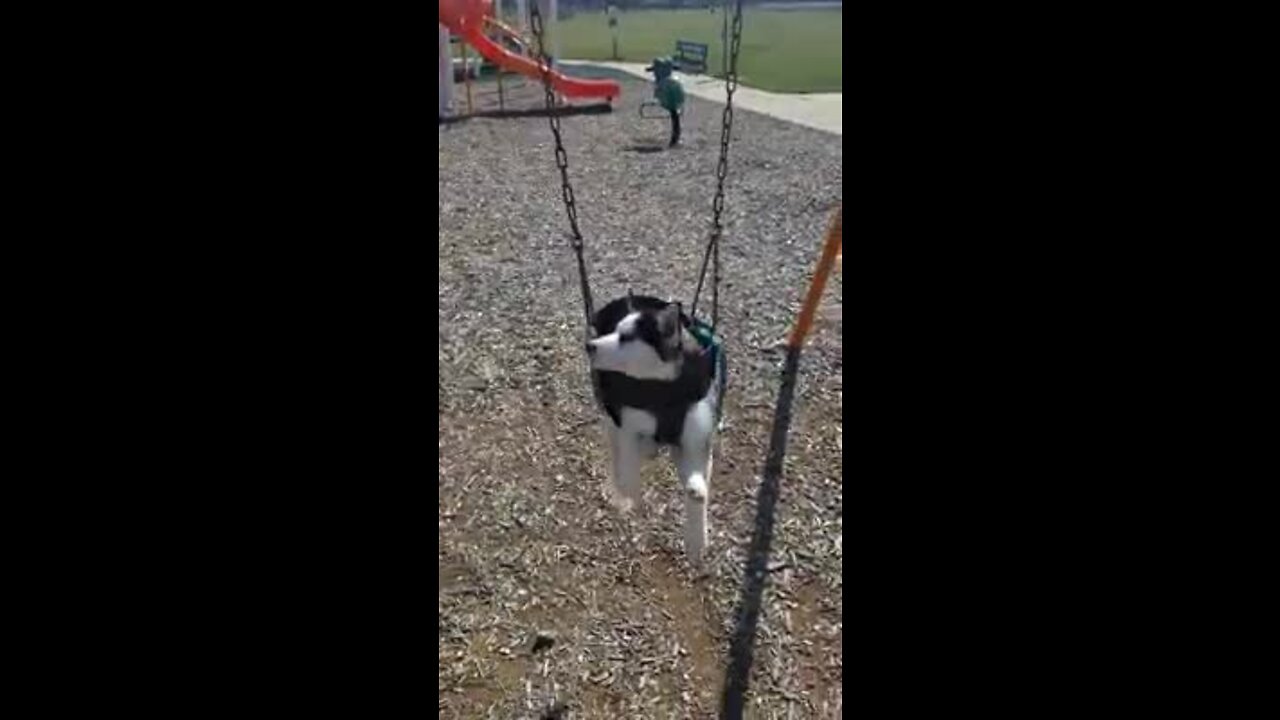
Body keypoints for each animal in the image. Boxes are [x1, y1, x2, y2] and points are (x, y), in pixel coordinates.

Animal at [586, 292, 727, 561]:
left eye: (626, 336)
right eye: (615, 329)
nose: (589, 345)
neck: (663, 391)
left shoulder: (695, 438)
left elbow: (698, 489)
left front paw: (697, 538)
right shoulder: (627, 425)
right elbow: (628, 473)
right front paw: (627, 490)